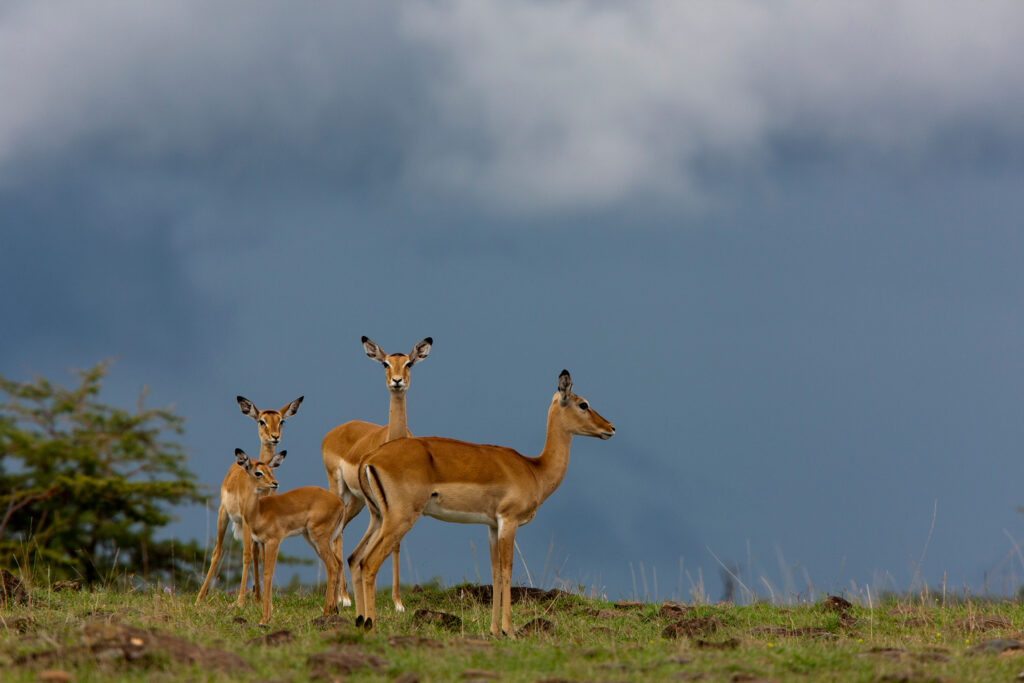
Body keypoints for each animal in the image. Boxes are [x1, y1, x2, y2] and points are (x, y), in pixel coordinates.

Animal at [195, 396, 303, 606]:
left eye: (281, 421)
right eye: (262, 421)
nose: (275, 437)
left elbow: (261, 555)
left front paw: (261, 598)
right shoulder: (246, 521)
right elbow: (245, 555)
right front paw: (240, 600)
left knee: (254, 551)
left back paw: (257, 595)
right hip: (223, 515)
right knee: (218, 551)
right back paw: (200, 597)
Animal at [231, 448, 345, 625]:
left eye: (270, 471)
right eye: (258, 472)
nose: (275, 483)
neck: (258, 511)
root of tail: (340, 503)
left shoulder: (273, 541)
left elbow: (268, 574)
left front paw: (264, 618)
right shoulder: (263, 543)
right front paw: (268, 615)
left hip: (319, 538)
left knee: (332, 565)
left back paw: (326, 612)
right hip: (313, 539)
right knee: (338, 563)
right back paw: (334, 610)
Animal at [321, 336, 431, 611]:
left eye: (409, 363)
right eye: (385, 363)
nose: (397, 381)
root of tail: (336, 431)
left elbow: (396, 544)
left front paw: (398, 602)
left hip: (357, 501)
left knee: (341, 530)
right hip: (339, 489)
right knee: (338, 534)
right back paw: (344, 598)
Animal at [348, 370, 615, 635]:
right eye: (583, 404)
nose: (610, 428)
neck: (535, 469)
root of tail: (370, 458)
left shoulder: (492, 526)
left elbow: (495, 572)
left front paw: (495, 630)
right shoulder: (509, 521)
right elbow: (507, 570)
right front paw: (509, 630)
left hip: (378, 517)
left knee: (355, 559)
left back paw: (361, 621)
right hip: (400, 519)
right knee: (369, 563)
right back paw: (371, 625)